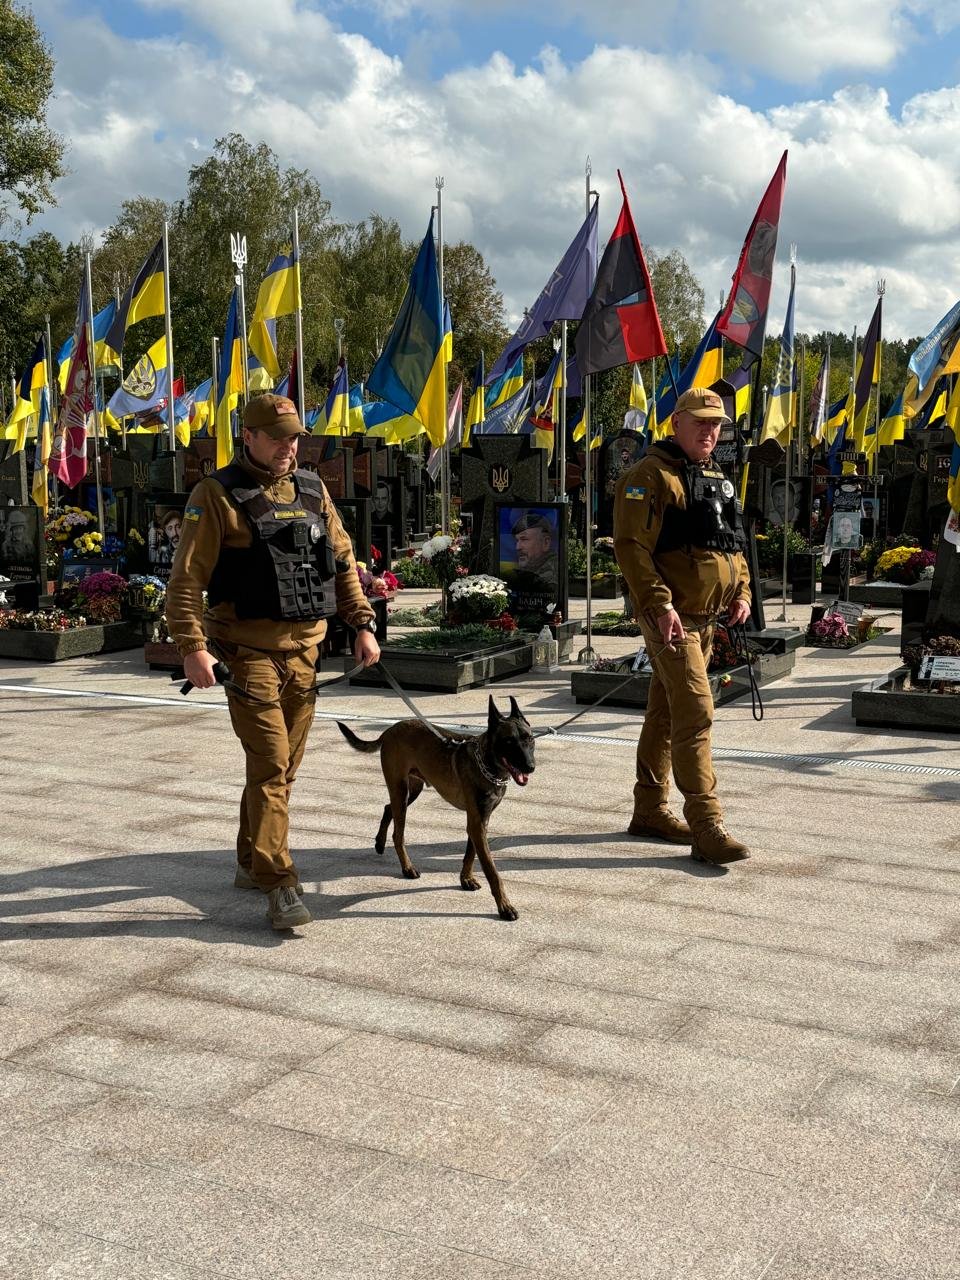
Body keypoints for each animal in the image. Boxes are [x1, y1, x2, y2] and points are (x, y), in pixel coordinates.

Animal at [335, 701, 535, 921]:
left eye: (529, 738)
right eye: (508, 741)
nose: (530, 767)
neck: (487, 764)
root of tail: (390, 729)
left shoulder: (479, 822)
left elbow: (470, 853)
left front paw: (466, 879)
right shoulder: (477, 824)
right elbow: (492, 871)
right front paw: (505, 906)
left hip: (412, 791)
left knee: (388, 808)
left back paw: (380, 842)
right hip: (400, 791)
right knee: (398, 834)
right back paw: (407, 867)